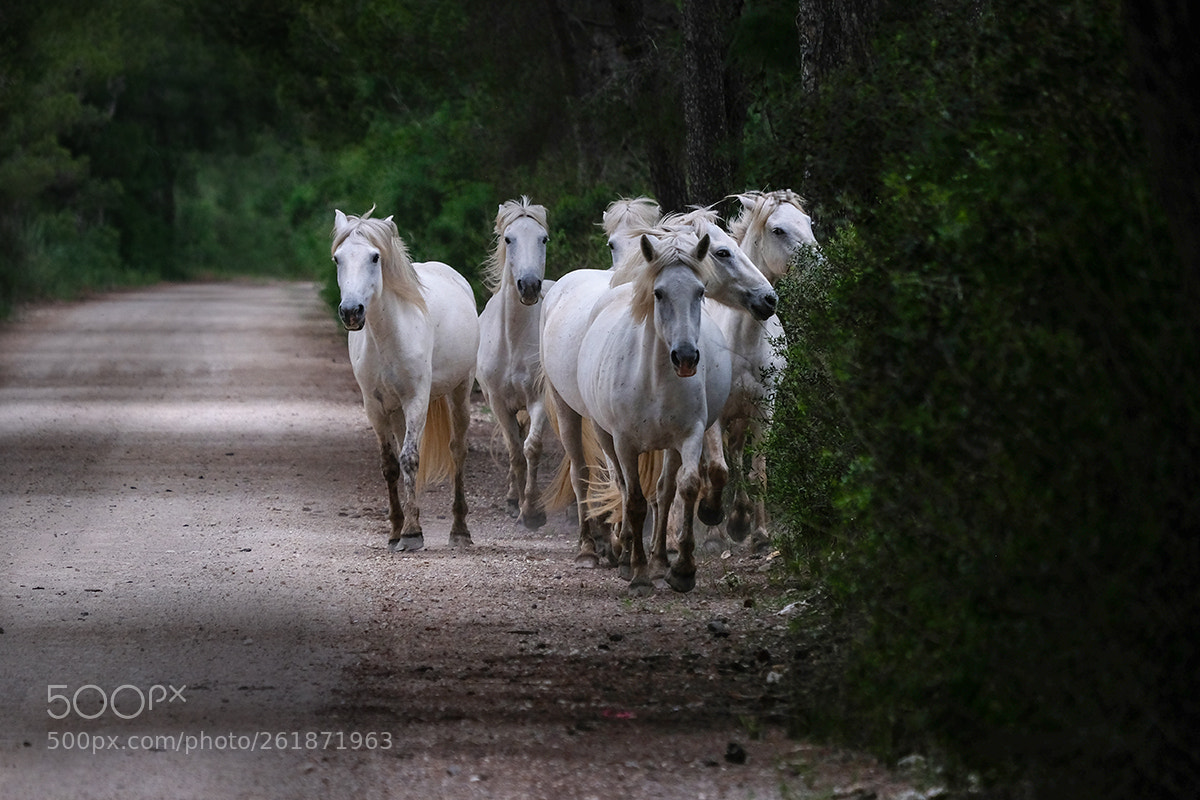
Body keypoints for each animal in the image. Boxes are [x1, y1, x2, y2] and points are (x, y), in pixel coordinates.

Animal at [332, 208, 480, 551]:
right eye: (337, 259)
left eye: (375, 257)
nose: (351, 312)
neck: (388, 336)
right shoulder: (375, 407)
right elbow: (391, 465)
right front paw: (397, 530)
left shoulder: (416, 399)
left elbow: (411, 458)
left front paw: (412, 534)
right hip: (397, 410)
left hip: (460, 390)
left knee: (457, 450)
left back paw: (460, 531)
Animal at [578, 229, 731, 595]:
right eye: (659, 293)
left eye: (700, 291)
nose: (686, 357)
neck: (654, 379)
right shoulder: (625, 444)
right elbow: (633, 500)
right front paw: (638, 573)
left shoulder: (690, 435)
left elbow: (686, 488)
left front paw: (683, 570)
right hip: (606, 437)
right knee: (622, 487)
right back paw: (625, 555)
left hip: (670, 446)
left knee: (664, 492)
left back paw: (660, 561)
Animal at [706, 189, 819, 550]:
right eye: (778, 230)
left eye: (808, 222)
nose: (821, 267)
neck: (741, 341)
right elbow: (716, 469)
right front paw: (714, 531)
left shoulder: (763, 408)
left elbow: (758, 472)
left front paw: (757, 533)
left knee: (737, 455)